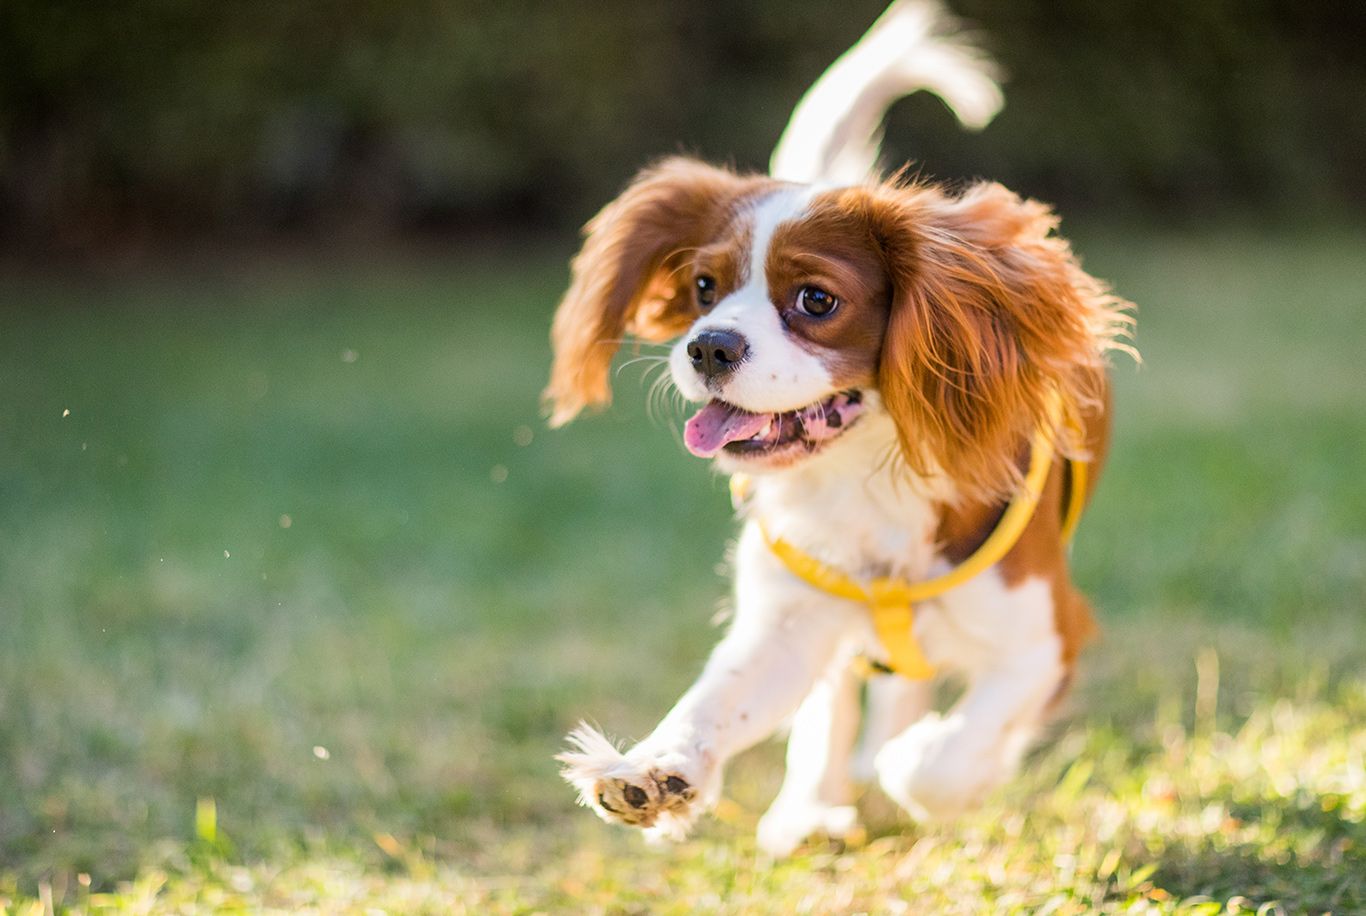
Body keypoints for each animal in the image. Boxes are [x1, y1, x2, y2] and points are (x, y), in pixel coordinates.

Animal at [540, 1, 1131, 862]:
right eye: (704, 286)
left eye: (816, 300)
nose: (707, 346)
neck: (865, 472)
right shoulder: (789, 620)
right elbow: (719, 700)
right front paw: (656, 770)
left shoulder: (1045, 637)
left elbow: (941, 762)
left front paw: (927, 766)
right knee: (835, 702)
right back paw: (809, 808)